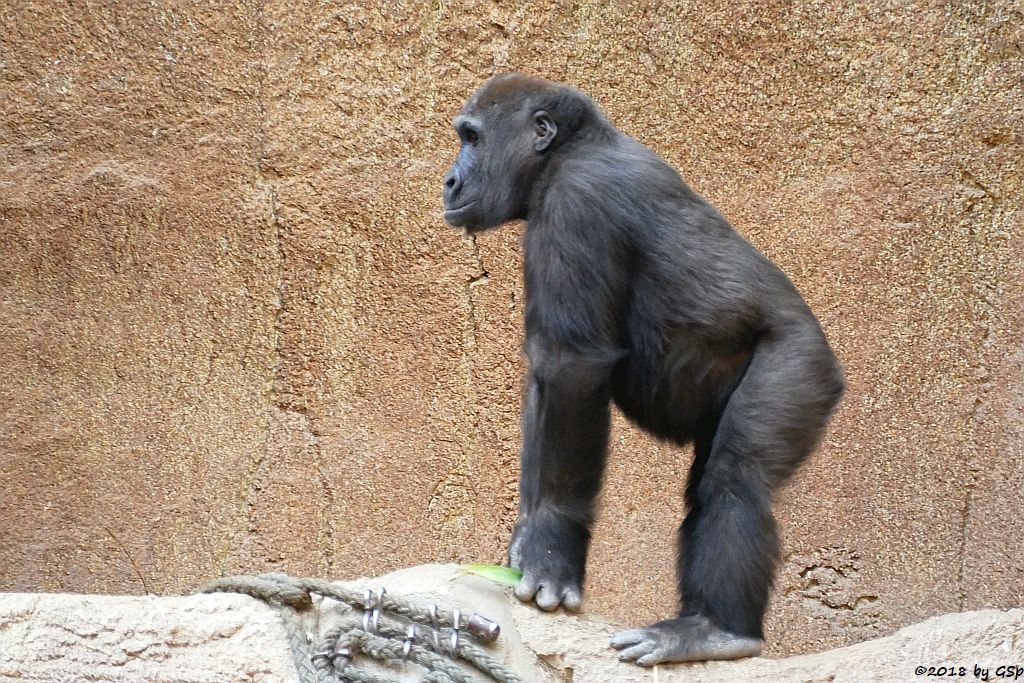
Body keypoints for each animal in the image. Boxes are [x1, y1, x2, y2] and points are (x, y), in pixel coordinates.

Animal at [440, 74, 839, 667]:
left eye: (472, 138)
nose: (450, 180)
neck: (570, 150)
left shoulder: (577, 201)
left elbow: (572, 367)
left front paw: (552, 550)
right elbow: (545, 379)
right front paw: (526, 538)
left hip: (802, 364)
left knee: (737, 475)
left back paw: (718, 629)